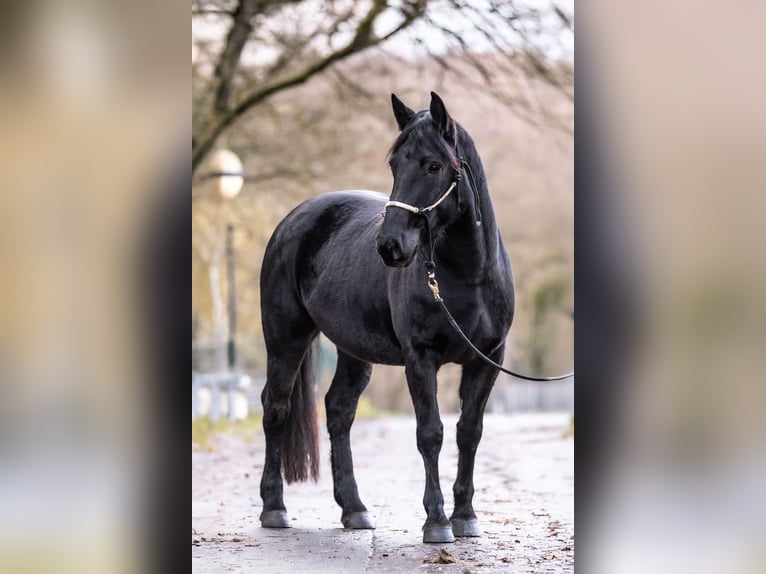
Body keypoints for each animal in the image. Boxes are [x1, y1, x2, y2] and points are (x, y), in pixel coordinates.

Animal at [258, 93, 516, 544]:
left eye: (433, 165)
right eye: (395, 164)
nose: (390, 246)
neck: (470, 275)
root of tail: (293, 219)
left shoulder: (487, 360)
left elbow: (469, 432)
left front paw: (466, 516)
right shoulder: (420, 358)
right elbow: (430, 433)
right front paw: (437, 521)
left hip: (353, 350)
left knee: (338, 411)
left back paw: (355, 509)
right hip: (285, 338)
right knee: (275, 407)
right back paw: (275, 508)